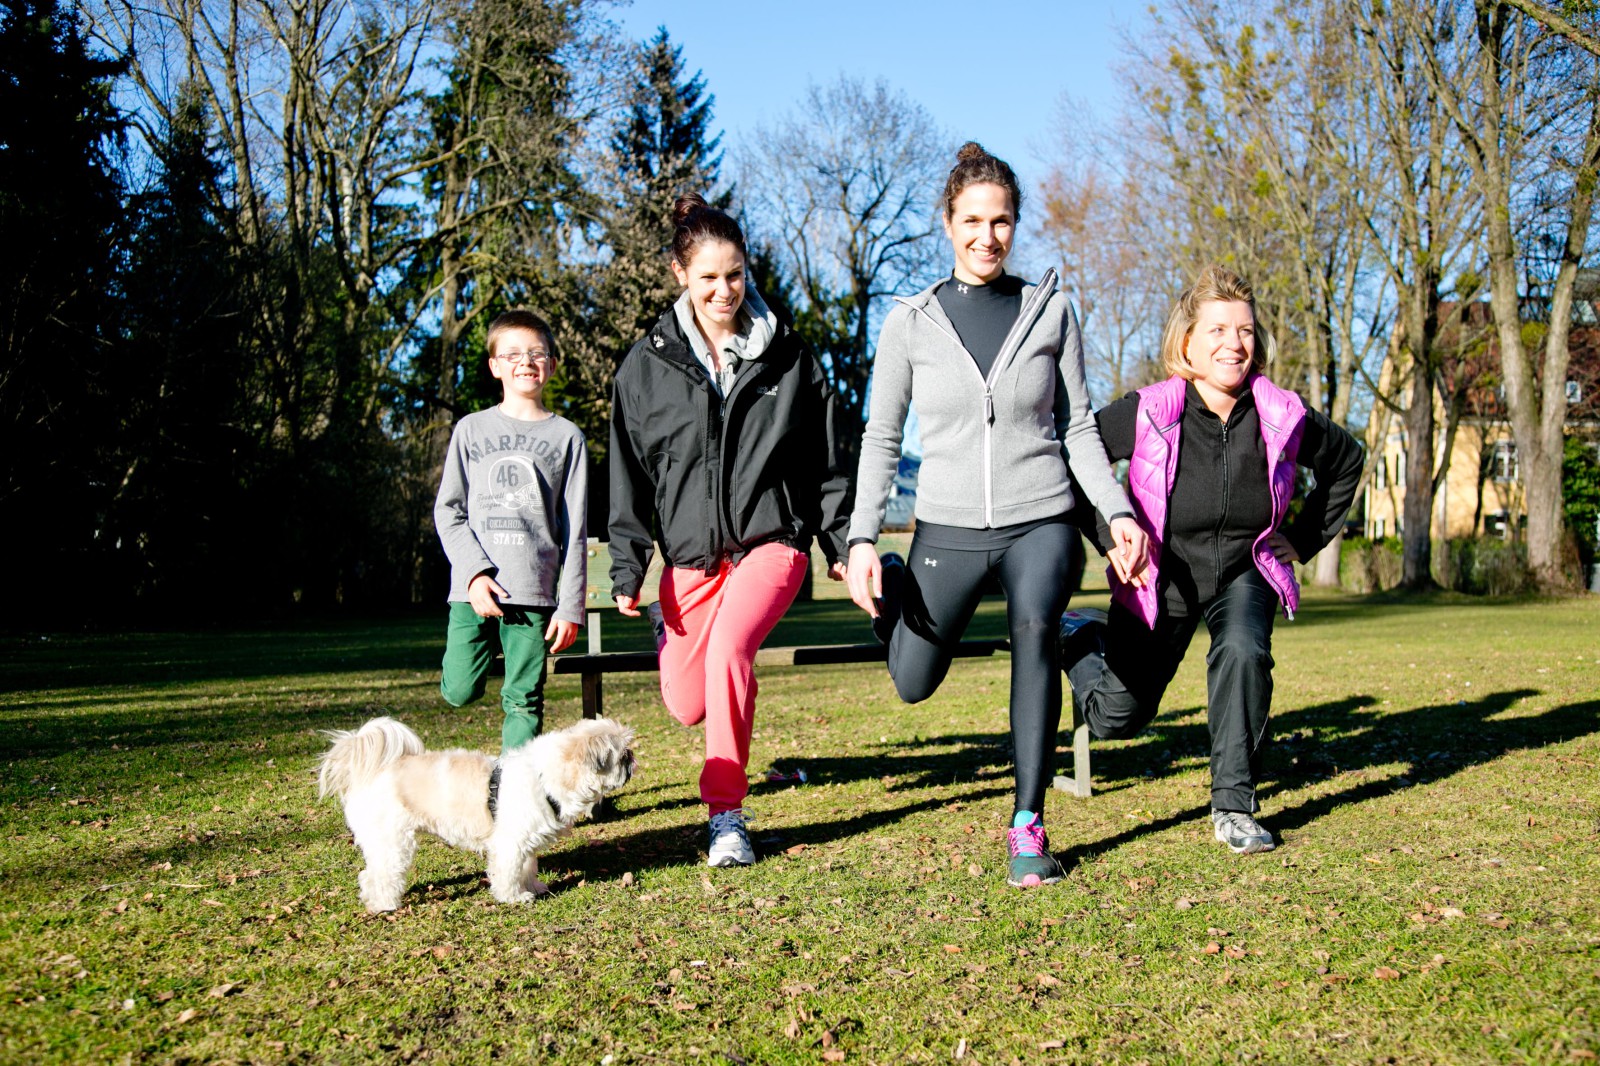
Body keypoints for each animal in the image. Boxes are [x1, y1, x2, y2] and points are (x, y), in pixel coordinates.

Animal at [315, 710, 633, 909]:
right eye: (621, 756)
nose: (632, 759)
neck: (546, 777)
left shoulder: (526, 842)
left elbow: (527, 868)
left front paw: (533, 887)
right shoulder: (509, 844)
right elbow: (507, 872)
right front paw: (514, 897)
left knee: (368, 874)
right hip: (393, 841)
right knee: (383, 873)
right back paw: (385, 904)